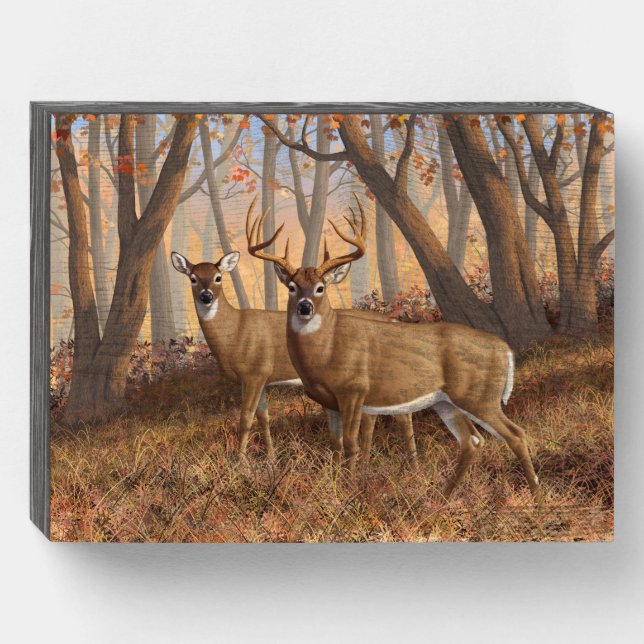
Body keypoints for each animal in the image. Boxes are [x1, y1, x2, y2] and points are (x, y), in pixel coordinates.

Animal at [171, 221, 415, 463]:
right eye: (192, 278)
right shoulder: (256, 378)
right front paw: (270, 459)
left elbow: (245, 418)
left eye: (218, 277)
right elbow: (263, 416)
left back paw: (410, 462)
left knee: (402, 413)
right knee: (374, 415)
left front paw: (240, 463)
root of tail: (392, 320)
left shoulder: (256, 372)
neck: (235, 331)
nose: (206, 296)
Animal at [246, 194, 541, 498]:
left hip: (480, 397)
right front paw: (336, 486)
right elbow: (335, 445)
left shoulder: (355, 390)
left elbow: (351, 444)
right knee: (472, 440)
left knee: (515, 434)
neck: (326, 350)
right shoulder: (329, 401)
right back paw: (444, 497)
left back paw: (536, 495)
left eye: (320, 287)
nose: (305, 308)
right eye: (292, 287)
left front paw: (350, 489)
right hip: (447, 402)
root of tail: (504, 349)